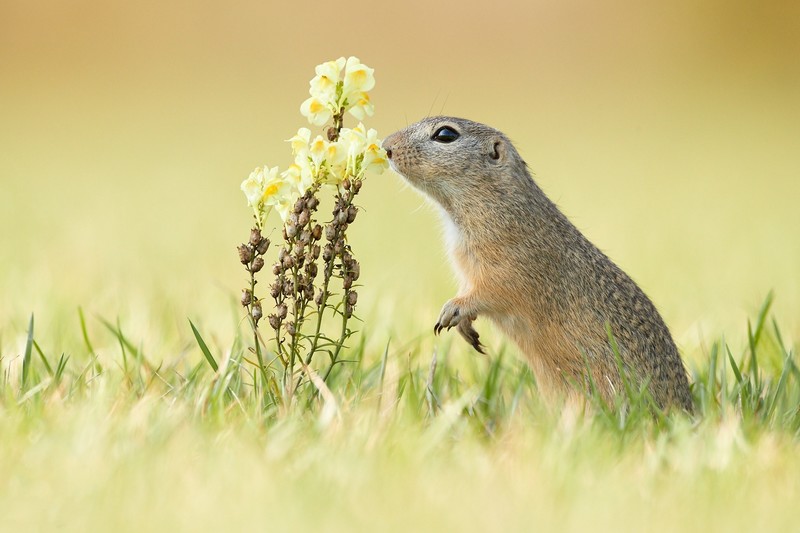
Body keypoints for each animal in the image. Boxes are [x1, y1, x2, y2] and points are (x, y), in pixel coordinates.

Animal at [383, 116, 693, 411]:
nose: (387, 146)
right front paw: (465, 327)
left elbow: (489, 293)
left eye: (445, 134)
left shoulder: (507, 268)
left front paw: (453, 310)